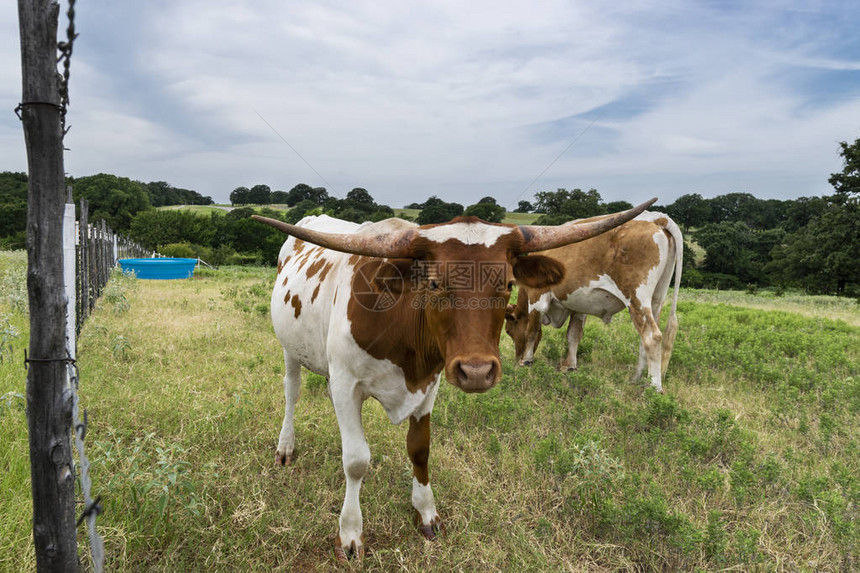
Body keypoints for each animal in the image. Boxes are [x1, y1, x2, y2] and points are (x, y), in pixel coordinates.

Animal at [252, 197, 656, 560]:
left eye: (508, 283)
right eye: (433, 285)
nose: (477, 371)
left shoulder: (428, 383)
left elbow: (420, 449)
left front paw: (426, 512)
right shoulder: (346, 385)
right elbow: (355, 460)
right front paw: (350, 533)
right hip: (290, 349)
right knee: (292, 391)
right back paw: (285, 447)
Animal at [500, 211, 680, 394]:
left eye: (508, 331)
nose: (517, 357)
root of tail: (656, 218)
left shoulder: (537, 298)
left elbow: (532, 331)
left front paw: (526, 360)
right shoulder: (579, 306)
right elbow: (573, 335)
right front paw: (569, 366)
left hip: (637, 299)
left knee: (652, 336)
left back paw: (654, 387)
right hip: (656, 300)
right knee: (645, 339)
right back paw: (636, 378)